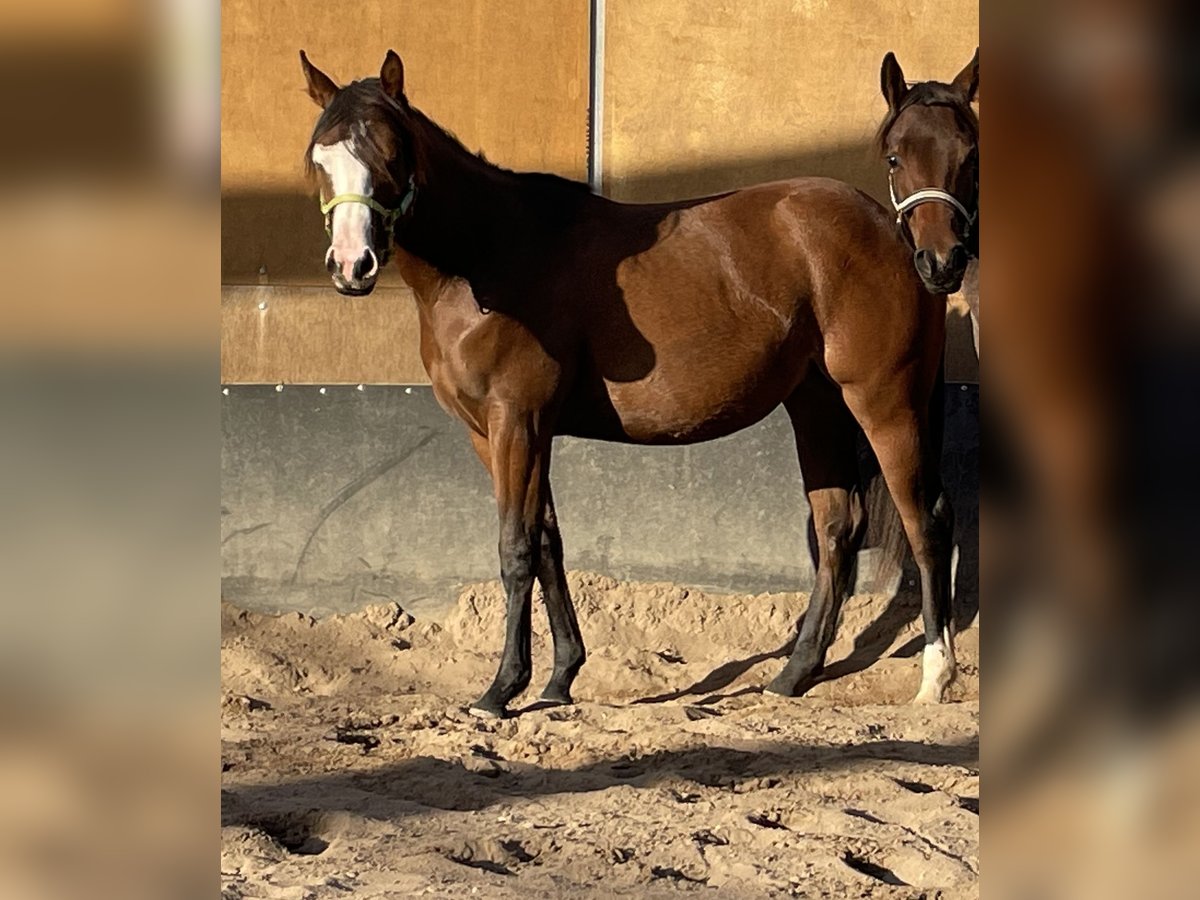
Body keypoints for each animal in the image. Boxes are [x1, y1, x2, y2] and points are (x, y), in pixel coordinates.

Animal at [297, 49, 955, 720]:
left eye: (390, 153)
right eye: (318, 157)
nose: (351, 265)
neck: (489, 256)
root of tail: (900, 231)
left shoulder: (517, 422)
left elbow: (515, 548)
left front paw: (502, 688)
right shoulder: (498, 433)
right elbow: (547, 543)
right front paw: (561, 677)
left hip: (884, 402)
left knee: (924, 521)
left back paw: (935, 677)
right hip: (816, 406)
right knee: (836, 529)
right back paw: (792, 675)